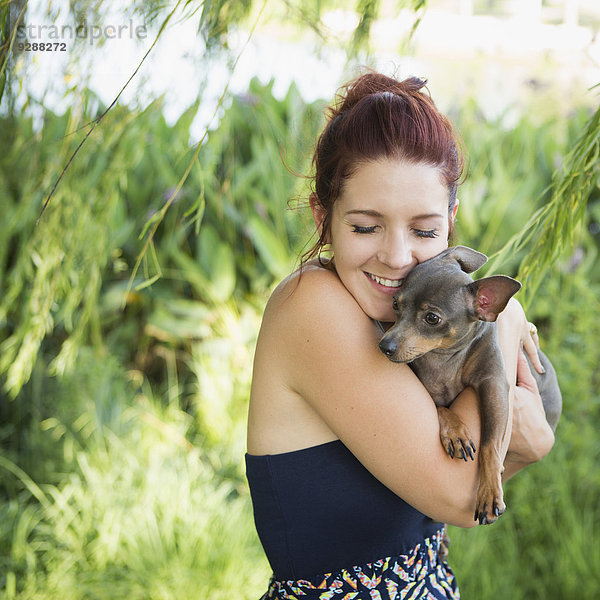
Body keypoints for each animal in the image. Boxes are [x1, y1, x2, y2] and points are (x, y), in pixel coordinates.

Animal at [380, 246, 564, 524]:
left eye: (432, 318)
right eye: (395, 304)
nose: (384, 345)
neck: (443, 358)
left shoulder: (494, 387)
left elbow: (490, 445)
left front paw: (489, 493)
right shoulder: (428, 389)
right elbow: (440, 406)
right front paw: (456, 432)